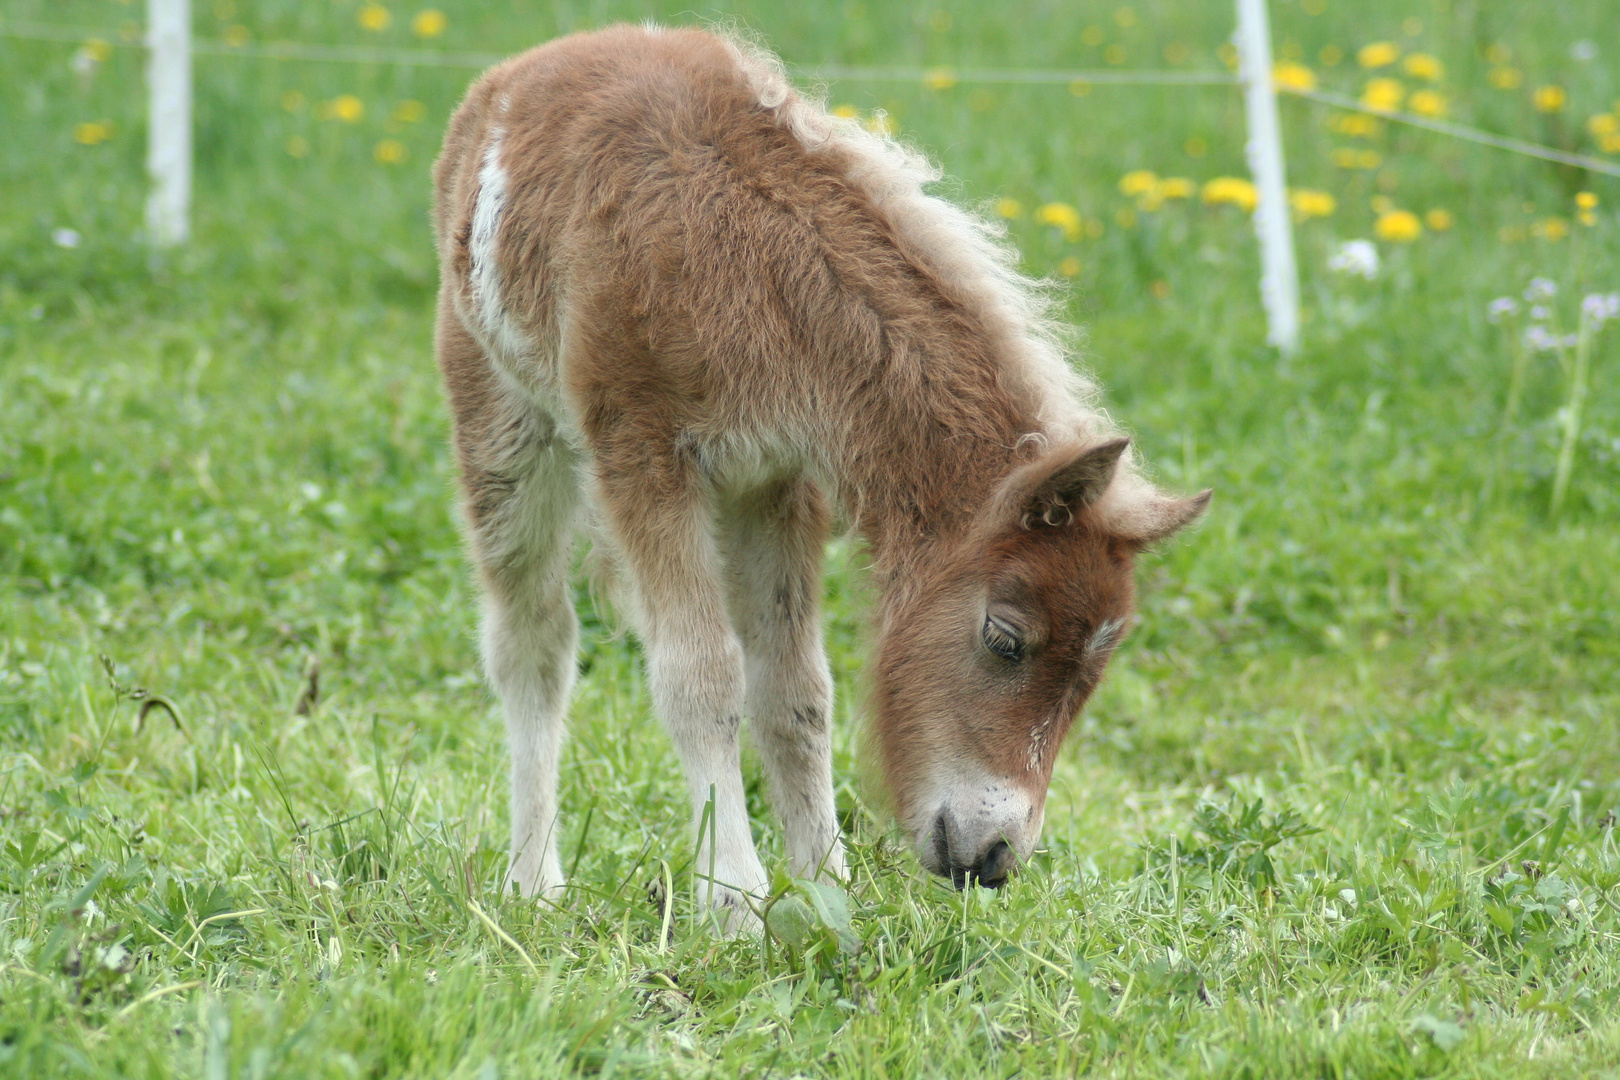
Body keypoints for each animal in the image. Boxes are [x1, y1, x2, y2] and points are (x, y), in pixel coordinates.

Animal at [430, 23, 1205, 919]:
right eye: (1006, 640)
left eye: (1096, 670)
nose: (995, 855)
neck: (749, 260)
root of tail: (523, 70)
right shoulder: (643, 458)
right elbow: (701, 677)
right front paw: (734, 902)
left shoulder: (778, 481)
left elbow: (796, 690)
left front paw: (827, 886)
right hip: (503, 421)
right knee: (534, 643)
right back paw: (532, 884)